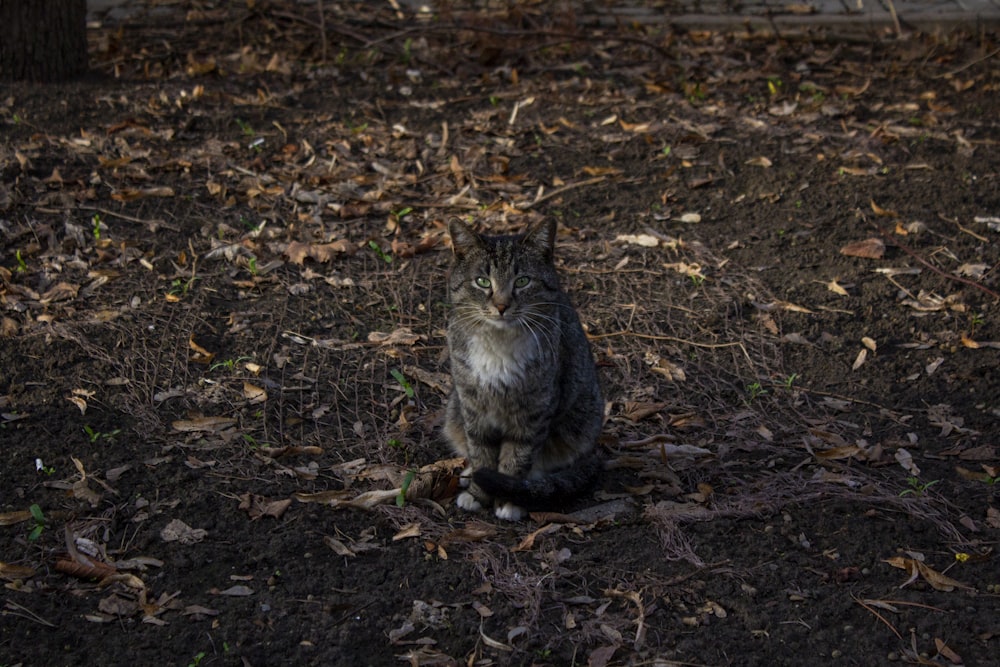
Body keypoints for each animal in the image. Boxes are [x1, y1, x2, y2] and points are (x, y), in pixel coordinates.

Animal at [444, 219, 600, 520]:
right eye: (483, 281)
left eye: (523, 281)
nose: (501, 306)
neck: (498, 344)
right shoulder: (472, 405)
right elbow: (481, 453)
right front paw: (478, 494)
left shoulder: (534, 411)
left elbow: (518, 457)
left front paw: (508, 499)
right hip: (454, 410)